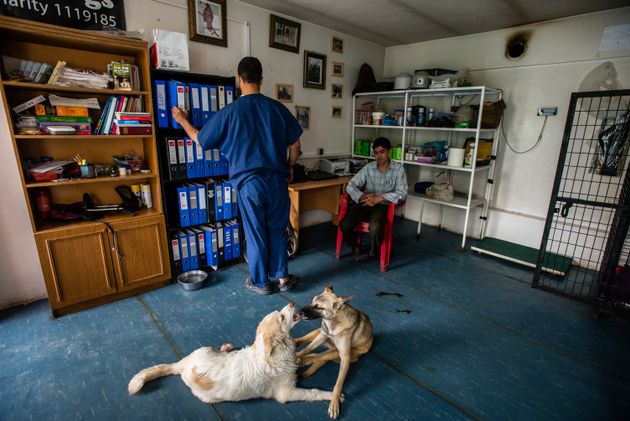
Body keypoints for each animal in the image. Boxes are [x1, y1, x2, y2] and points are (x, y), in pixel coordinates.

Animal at [127, 302, 336, 404]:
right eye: (282, 318)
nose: (292, 303)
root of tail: (182, 364)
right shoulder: (287, 392)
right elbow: (313, 392)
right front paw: (331, 396)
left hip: (206, 348)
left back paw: (226, 348)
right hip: (209, 397)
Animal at [296, 284, 376, 418]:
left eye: (318, 307)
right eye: (312, 301)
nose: (298, 312)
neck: (333, 323)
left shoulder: (345, 356)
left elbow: (338, 384)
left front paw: (334, 403)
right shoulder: (322, 336)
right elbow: (306, 348)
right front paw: (296, 355)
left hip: (342, 354)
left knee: (320, 355)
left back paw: (304, 360)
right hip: (318, 333)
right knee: (303, 343)